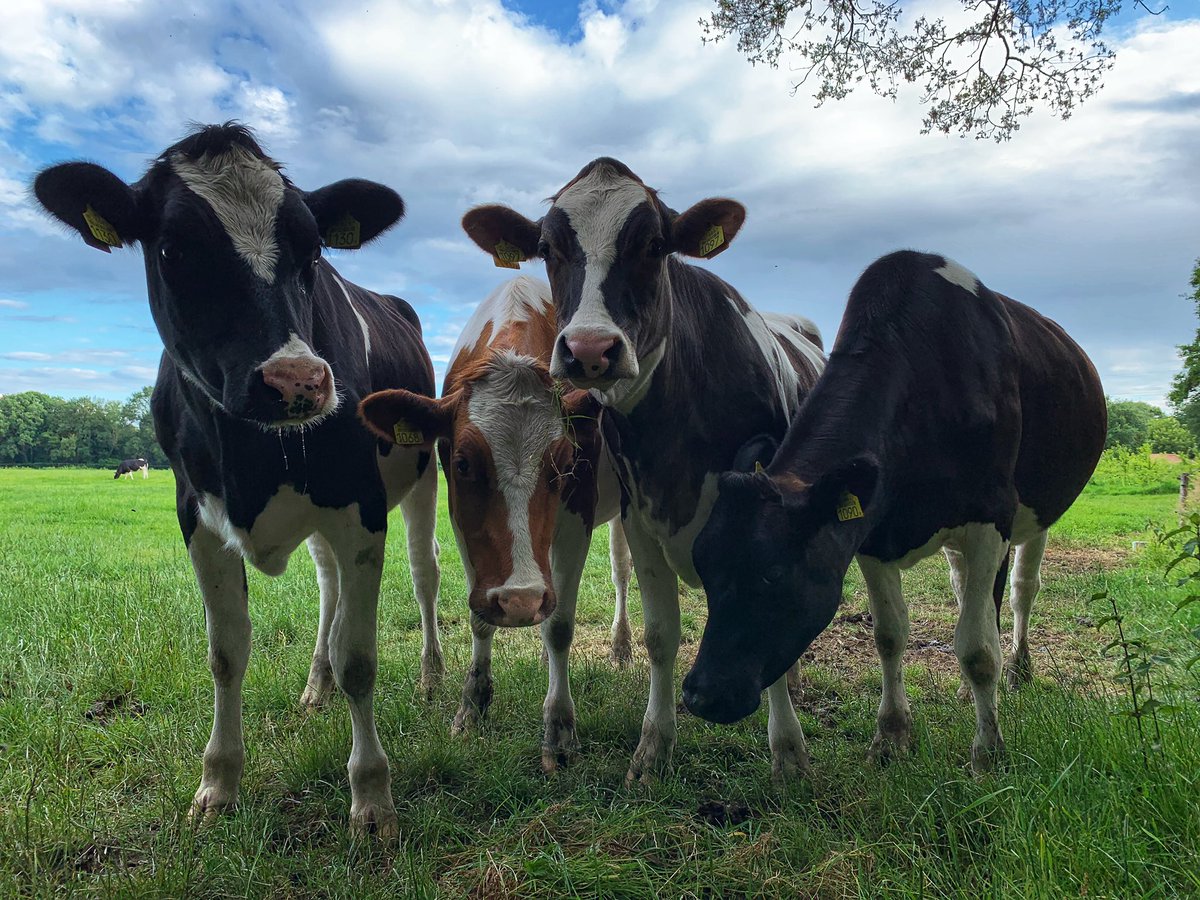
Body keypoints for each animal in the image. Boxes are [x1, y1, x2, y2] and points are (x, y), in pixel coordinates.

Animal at [33, 123, 442, 838]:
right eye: (173, 248)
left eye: (313, 252)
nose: (297, 382)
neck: (253, 455)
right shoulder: (196, 516)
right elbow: (226, 654)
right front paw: (217, 784)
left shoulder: (360, 507)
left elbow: (361, 658)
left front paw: (372, 796)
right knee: (328, 591)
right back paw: (315, 686)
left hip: (420, 481)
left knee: (424, 575)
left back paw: (430, 678)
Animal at [359, 275, 634, 771]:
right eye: (463, 463)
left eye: (565, 464)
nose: (521, 600)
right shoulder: (464, 525)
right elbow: (479, 618)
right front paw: (473, 703)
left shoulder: (577, 516)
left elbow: (560, 626)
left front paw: (558, 728)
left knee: (621, 570)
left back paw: (621, 645)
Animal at [460, 158, 826, 784]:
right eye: (547, 248)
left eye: (654, 245)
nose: (589, 349)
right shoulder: (639, 517)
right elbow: (661, 635)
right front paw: (653, 749)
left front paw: (789, 752)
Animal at [681, 250, 1106, 773]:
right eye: (704, 568)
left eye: (773, 573)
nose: (701, 696)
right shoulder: (874, 534)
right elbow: (889, 635)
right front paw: (891, 736)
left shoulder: (990, 519)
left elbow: (978, 648)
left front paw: (988, 753)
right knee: (967, 591)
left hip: (1035, 511)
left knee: (1020, 590)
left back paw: (1018, 669)